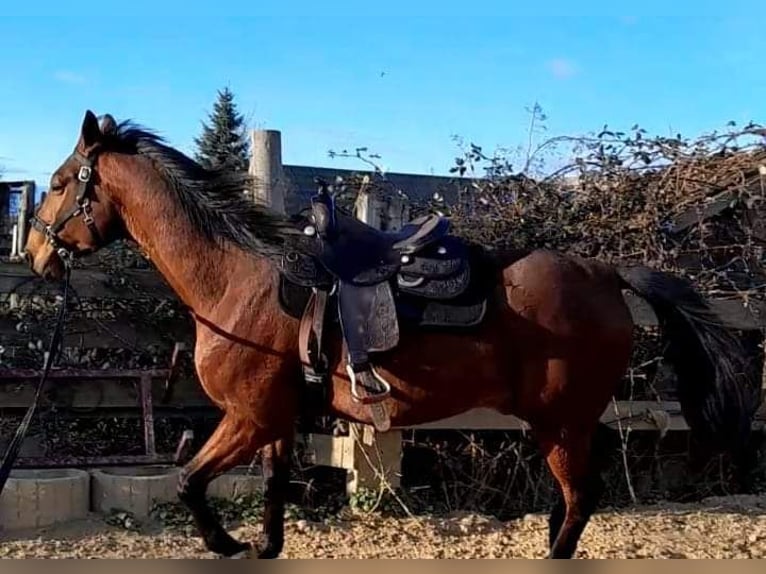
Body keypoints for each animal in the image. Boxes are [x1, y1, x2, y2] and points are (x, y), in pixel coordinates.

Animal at [24, 110, 760, 560]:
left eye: (60, 183)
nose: (35, 254)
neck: (240, 281)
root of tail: (607, 273)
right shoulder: (276, 423)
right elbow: (271, 500)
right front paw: (257, 546)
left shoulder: (248, 418)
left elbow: (188, 483)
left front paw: (225, 545)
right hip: (563, 423)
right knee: (570, 505)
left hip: (562, 421)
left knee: (578, 503)